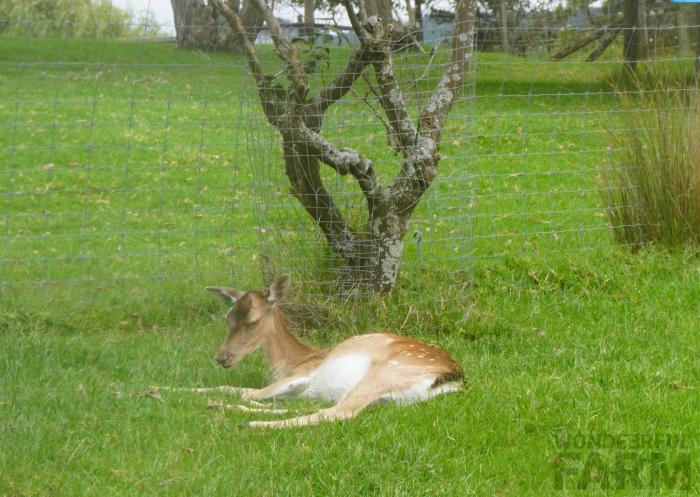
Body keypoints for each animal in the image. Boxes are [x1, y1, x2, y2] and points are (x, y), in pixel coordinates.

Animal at [159, 276, 464, 426]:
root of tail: (452, 380)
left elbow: (241, 390)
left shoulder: (301, 375)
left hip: (385, 374)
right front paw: (159, 389)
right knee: (328, 408)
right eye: (228, 318)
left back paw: (253, 424)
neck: (291, 362)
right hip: (385, 397)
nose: (222, 357)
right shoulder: (303, 390)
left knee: (337, 414)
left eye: (252, 320)